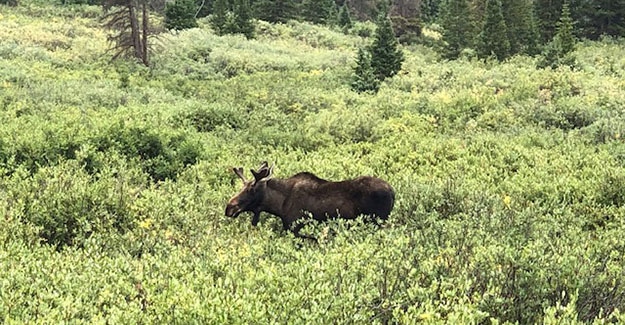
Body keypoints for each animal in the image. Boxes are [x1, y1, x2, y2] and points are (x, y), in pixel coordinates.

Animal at [224, 161, 394, 235]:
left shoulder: (296, 228)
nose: (229, 208)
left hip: (377, 222)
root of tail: (393, 192)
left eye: (251, 189)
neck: (279, 205)